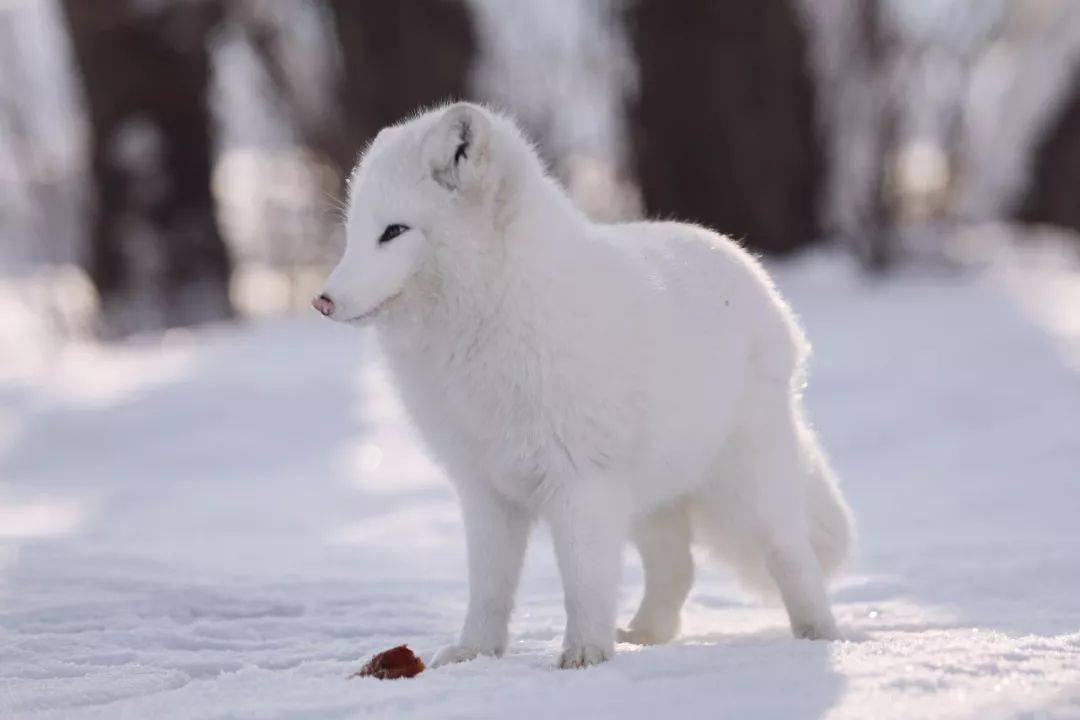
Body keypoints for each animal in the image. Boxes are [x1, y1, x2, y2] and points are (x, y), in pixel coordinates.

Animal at [313, 101, 851, 669]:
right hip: (646, 500)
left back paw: (821, 634)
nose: (321, 301)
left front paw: (584, 656)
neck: (491, 316)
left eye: (394, 231)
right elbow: (489, 590)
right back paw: (645, 634)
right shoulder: (485, 492)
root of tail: (754, 273)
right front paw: (476, 652)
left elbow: (584, 584)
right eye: (354, 233)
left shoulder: (581, 484)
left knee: (792, 554)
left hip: (744, 486)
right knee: (677, 566)